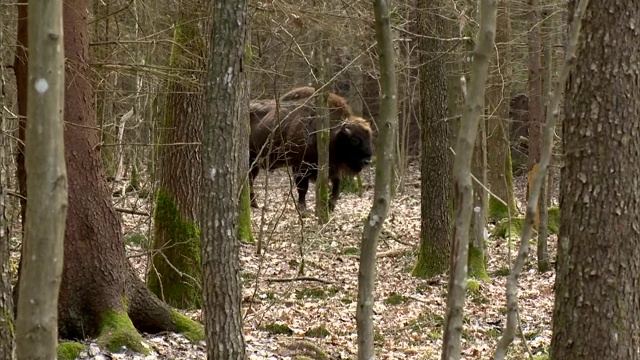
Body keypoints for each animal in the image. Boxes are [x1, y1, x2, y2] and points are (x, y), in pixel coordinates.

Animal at [246, 86, 376, 212]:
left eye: (370, 137)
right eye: (354, 140)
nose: (367, 160)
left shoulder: (333, 167)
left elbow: (337, 185)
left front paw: (331, 206)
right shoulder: (300, 166)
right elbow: (303, 188)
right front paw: (302, 209)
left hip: (255, 163)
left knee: (250, 180)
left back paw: (254, 205)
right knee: (250, 181)